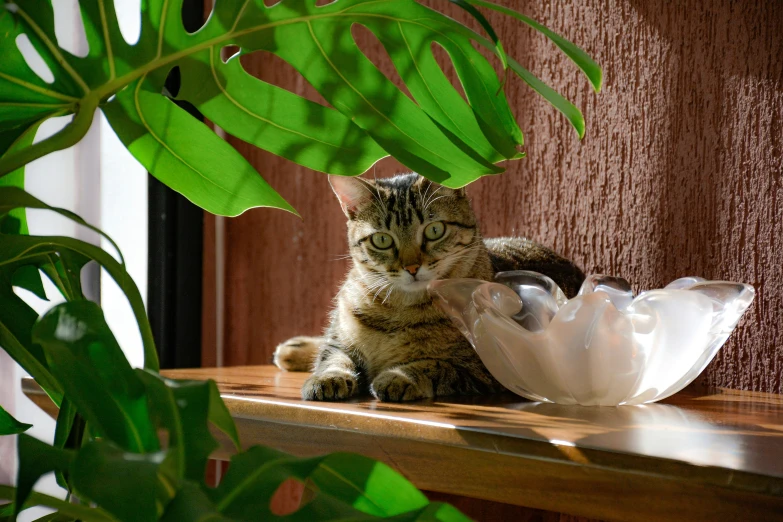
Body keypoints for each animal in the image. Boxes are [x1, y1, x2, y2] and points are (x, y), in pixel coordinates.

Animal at [272, 173, 584, 400]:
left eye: (434, 231)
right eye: (382, 240)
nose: (411, 267)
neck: (397, 310)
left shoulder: (485, 367)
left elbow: (434, 365)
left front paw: (398, 377)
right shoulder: (340, 338)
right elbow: (333, 357)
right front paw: (327, 377)